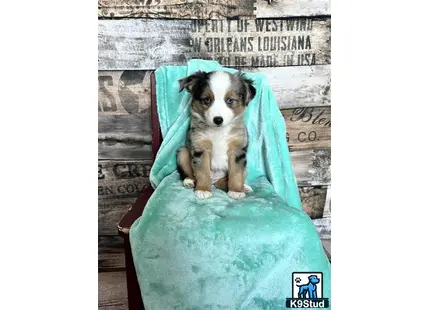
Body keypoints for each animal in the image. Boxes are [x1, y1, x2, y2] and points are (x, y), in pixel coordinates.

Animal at [177, 69, 256, 201]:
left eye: (230, 101)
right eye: (206, 100)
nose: (218, 120)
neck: (219, 131)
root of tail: (214, 180)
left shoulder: (237, 150)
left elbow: (236, 173)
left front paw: (236, 191)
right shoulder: (201, 148)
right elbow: (202, 171)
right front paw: (203, 190)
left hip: (245, 167)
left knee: (223, 182)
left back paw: (243, 187)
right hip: (183, 152)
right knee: (190, 173)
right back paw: (189, 181)